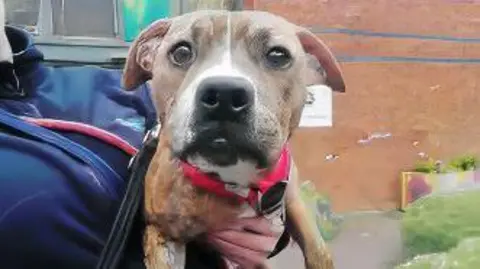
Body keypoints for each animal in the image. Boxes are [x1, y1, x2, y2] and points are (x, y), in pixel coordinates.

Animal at [122, 9, 344, 268]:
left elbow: (318, 249)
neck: (234, 178)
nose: (224, 94)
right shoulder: (160, 230)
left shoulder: (292, 196)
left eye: (278, 55)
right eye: (181, 52)